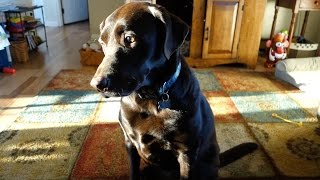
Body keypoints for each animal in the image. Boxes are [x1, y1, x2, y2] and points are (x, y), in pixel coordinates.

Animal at [90, 2, 258, 179]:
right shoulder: (130, 144)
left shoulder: (186, 152)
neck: (149, 99)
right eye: (102, 43)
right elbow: (133, 171)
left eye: (129, 38)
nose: (96, 84)